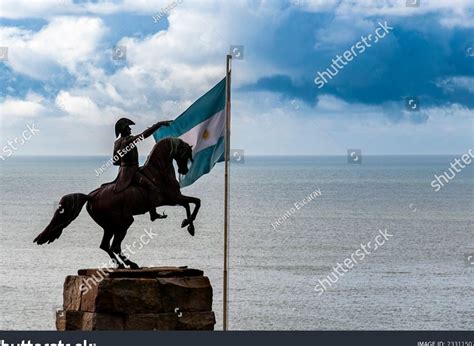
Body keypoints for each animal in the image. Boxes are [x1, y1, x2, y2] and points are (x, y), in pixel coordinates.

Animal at [33, 137, 200, 268]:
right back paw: (130, 264)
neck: (158, 171)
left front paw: (187, 224)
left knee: (106, 245)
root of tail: (90, 197)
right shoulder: (173, 198)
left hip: (109, 226)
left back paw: (121, 265)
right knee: (114, 245)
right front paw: (189, 225)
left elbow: (189, 204)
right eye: (186, 154)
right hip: (123, 223)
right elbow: (196, 202)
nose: (184, 171)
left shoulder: (174, 199)